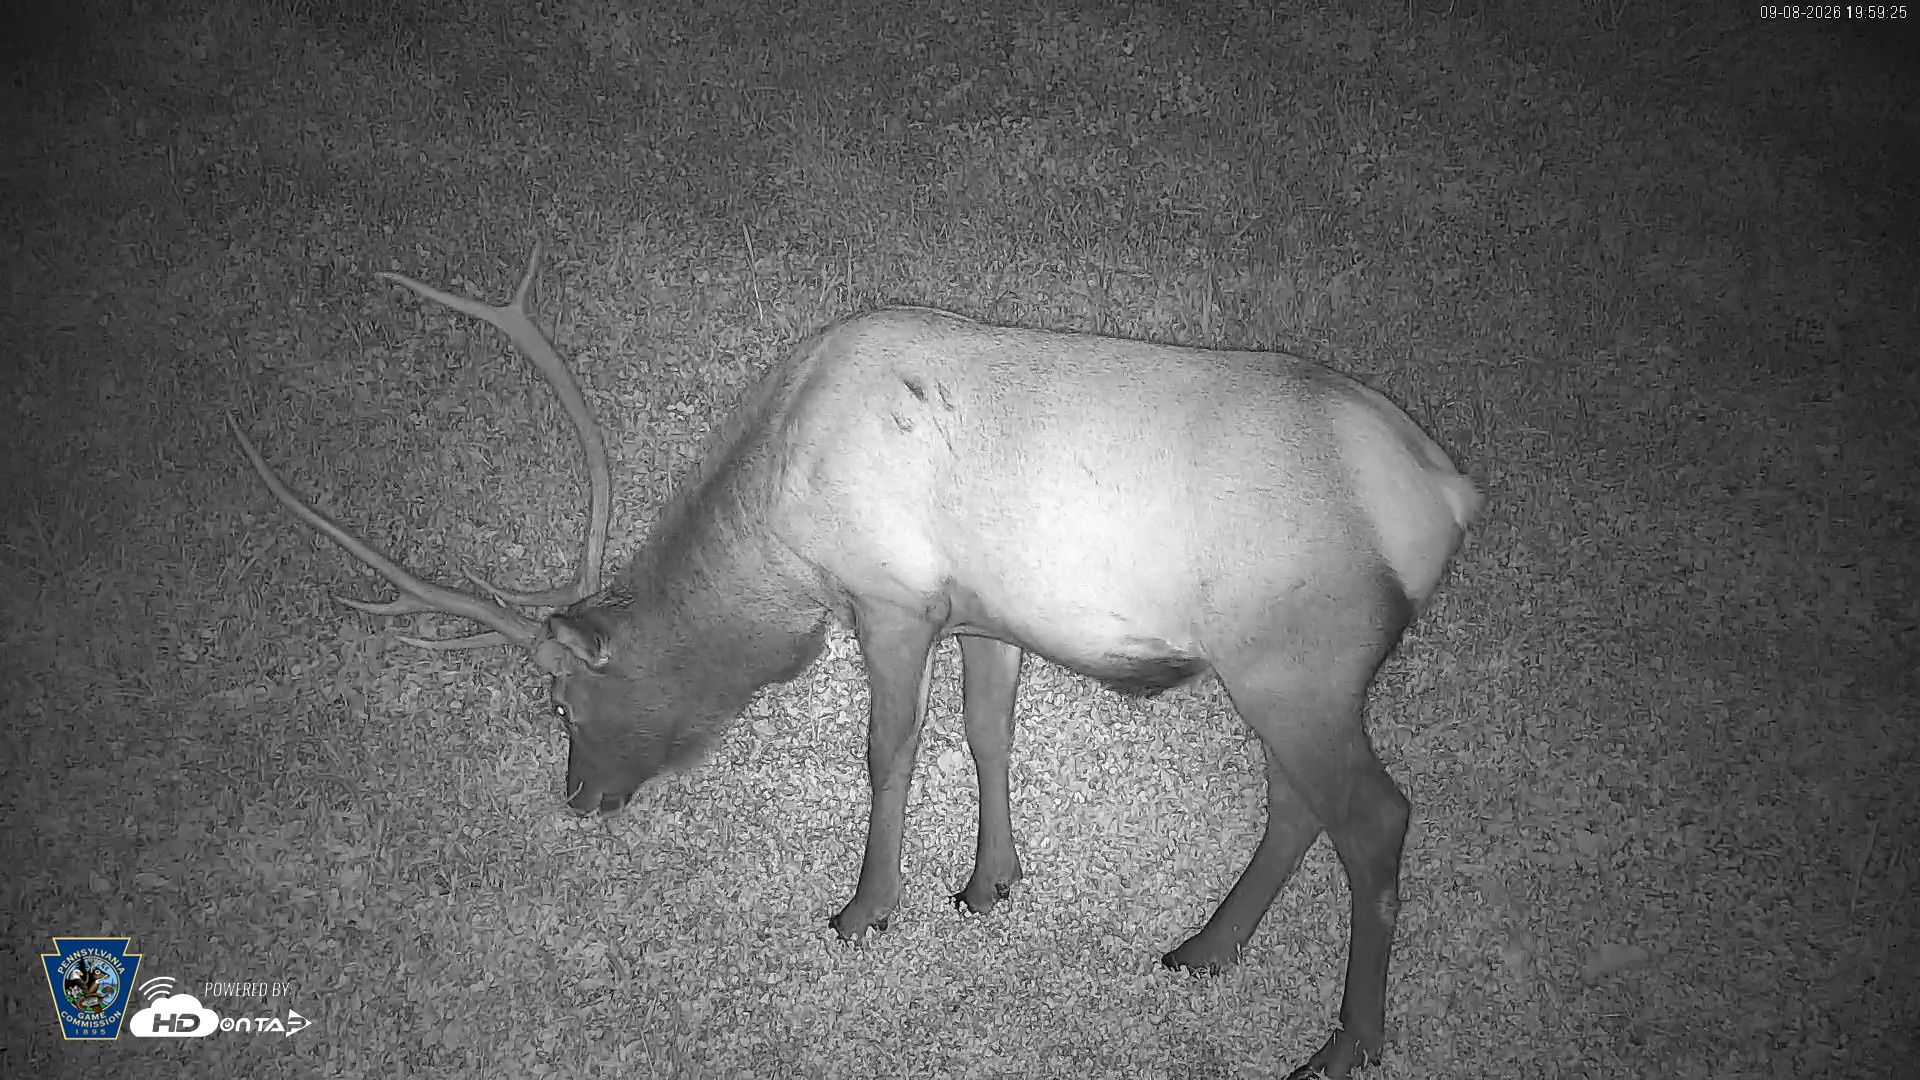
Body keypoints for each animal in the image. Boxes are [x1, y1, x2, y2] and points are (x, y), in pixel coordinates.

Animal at [229, 244, 1479, 1079]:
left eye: (558, 698)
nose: (580, 798)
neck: (784, 531)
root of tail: (1445, 495)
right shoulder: (985, 612)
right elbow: (986, 734)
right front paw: (987, 882)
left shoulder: (889, 596)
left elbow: (889, 751)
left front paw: (865, 910)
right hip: (1281, 675)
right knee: (1301, 804)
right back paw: (1205, 950)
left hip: (1296, 657)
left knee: (1378, 816)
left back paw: (1346, 1043)